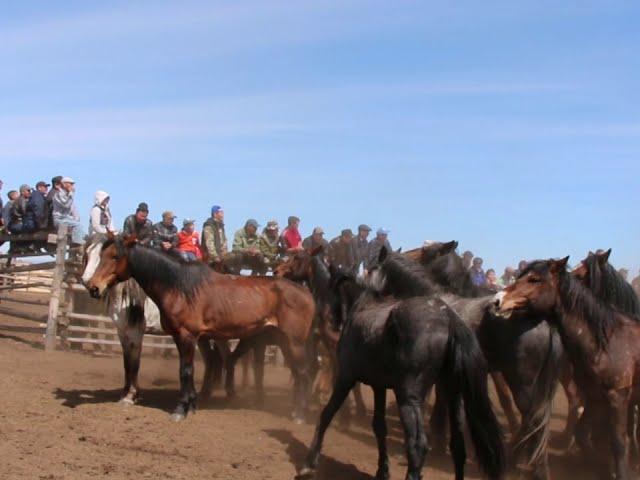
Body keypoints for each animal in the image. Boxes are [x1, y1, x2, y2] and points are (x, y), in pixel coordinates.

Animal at [85, 234, 316, 422]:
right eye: (95, 254)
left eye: (115, 256)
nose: (93, 287)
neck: (179, 286)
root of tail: (306, 293)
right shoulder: (181, 337)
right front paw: (191, 405)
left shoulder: (184, 336)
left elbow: (184, 371)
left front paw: (180, 409)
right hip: (282, 341)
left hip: (294, 342)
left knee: (304, 372)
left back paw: (299, 415)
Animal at [300, 248, 504, 480]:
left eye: (331, 290)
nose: (329, 321)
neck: (362, 306)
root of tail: (450, 319)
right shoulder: (378, 386)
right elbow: (379, 427)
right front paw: (382, 470)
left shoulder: (345, 377)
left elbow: (327, 413)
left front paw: (309, 462)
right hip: (454, 396)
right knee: (458, 446)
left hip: (409, 397)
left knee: (418, 445)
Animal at [498, 258, 640, 480]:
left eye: (534, 279)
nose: (498, 299)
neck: (608, 341)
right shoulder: (595, 397)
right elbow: (582, 433)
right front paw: (600, 465)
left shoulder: (619, 397)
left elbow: (618, 443)